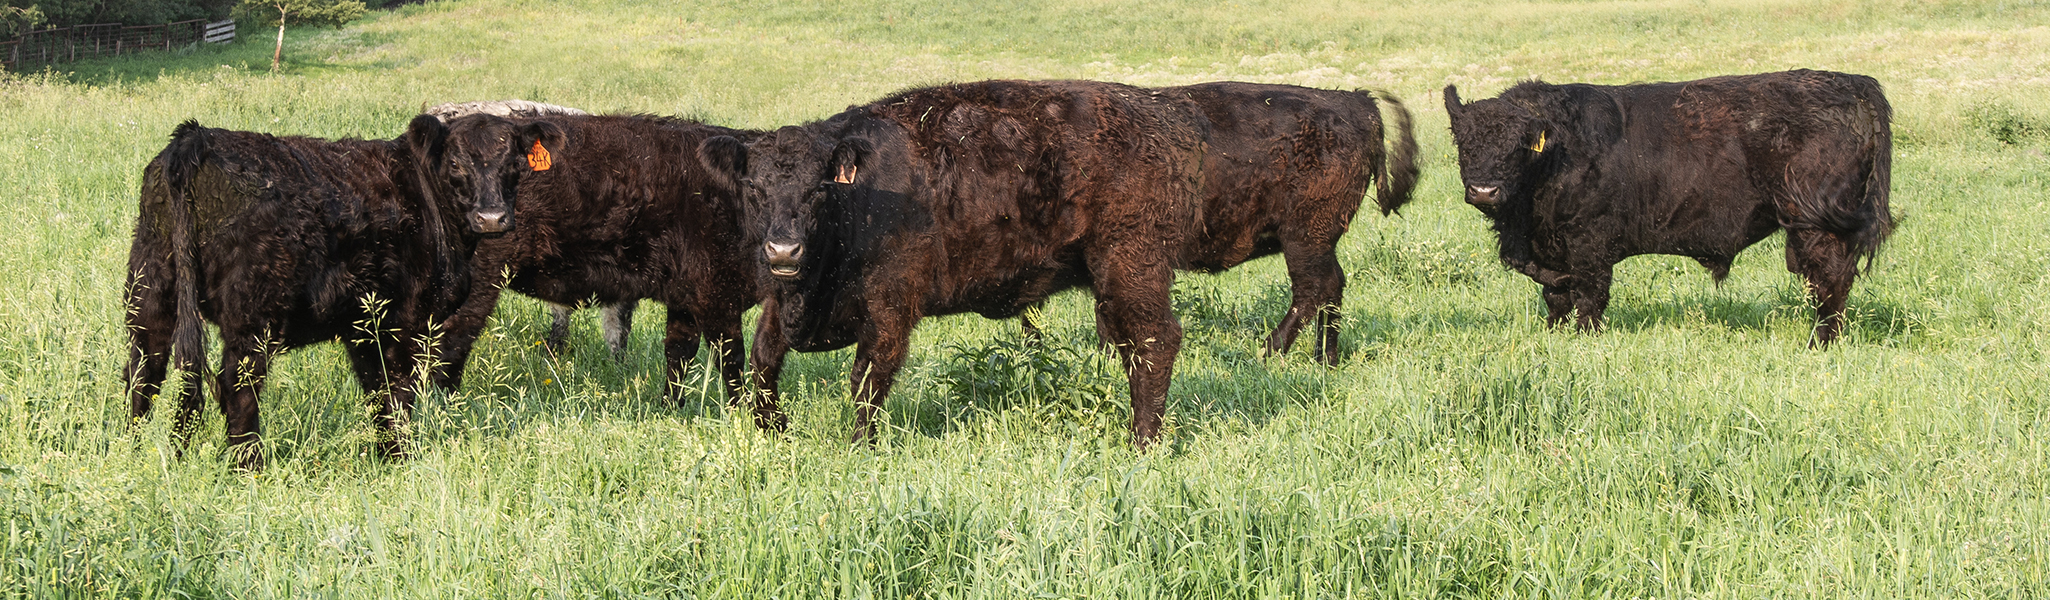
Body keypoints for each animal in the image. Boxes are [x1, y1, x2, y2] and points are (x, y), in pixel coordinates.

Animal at [117, 113, 541, 466]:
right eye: (455, 163)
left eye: (515, 164)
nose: (492, 218)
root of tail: (197, 137)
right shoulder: (404, 320)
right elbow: (397, 392)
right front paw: (401, 458)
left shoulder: (364, 326)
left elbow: (376, 391)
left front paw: (383, 456)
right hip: (252, 317)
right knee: (237, 388)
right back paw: (248, 468)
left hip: (151, 290)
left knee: (143, 373)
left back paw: (133, 452)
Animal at [742, 78, 1205, 444]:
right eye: (754, 188)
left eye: (818, 189)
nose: (783, 251)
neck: (859, 196)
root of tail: (1154, 118)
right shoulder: (782, 304)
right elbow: (762, 359)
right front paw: (773, 430)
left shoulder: (891, 311)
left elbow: (867, 381)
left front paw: (860, 445)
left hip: (1134, 269)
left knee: (1155, 342)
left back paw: (1143, 441)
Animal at [1443, 68, 1886, 344]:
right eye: (1464, 143)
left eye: (1518, 147)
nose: (1484, 190)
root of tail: (1852, 84)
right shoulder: (1547, 249)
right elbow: (1556, 298)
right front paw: (1553, 334)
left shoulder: (1591, 244)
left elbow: (1588, 297)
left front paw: (1584, 338)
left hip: (1818, 228)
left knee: (1830, 284)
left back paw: (1819, 344)